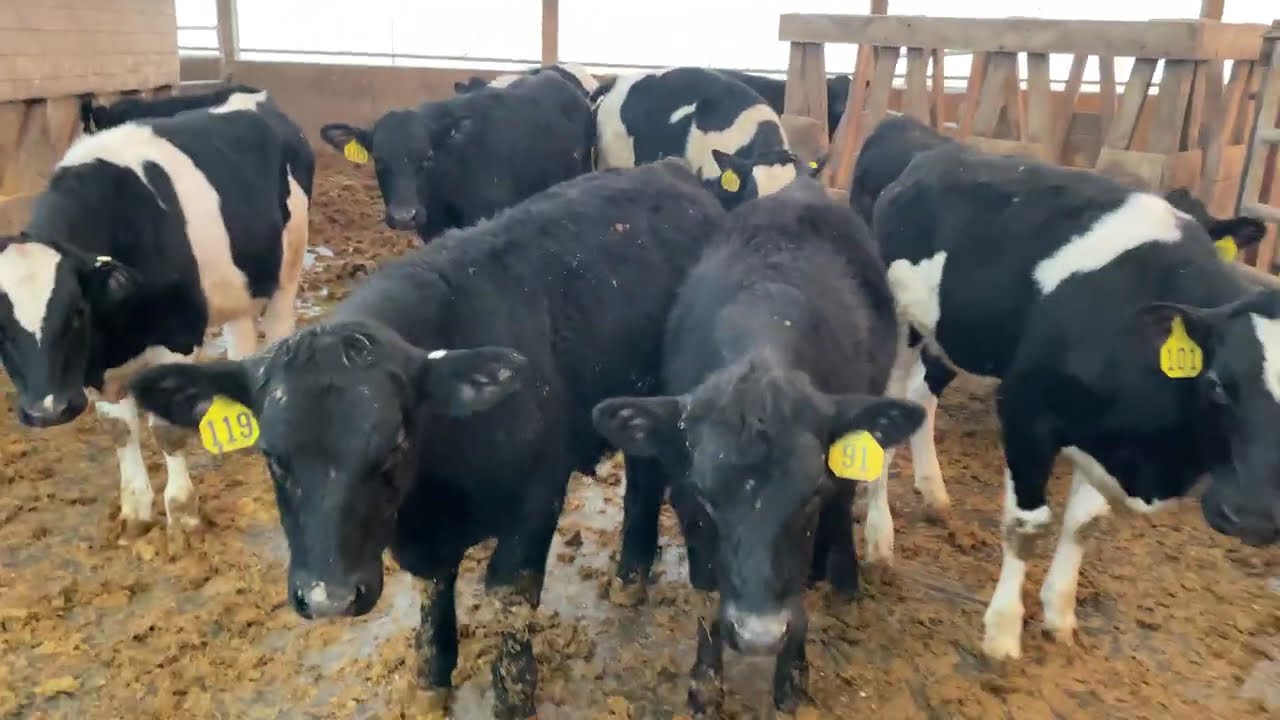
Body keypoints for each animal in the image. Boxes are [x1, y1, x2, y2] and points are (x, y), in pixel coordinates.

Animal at [0, 91, 311, 545]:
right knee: (240, 338)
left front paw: (182, 517)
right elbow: (119, 429)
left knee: (277, 330)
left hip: (286, 274)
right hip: (236, 286)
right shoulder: (95, 366)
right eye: (0, 326)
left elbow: (165, 431)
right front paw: (135, 512)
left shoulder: (177, 338)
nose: (47, 411)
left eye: (76, 311)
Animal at [125, 158, 725, 719]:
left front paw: (513, 695)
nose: (328, 598)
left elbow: (510, 601)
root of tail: (669, 171)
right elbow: (433, 590)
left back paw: (630, 574)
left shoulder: (537, 498)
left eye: (392, 445)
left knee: (645, 480)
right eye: (272, 457)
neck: (435, 495)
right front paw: (432, 678)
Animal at [592, 173, 923, 714]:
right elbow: (706, 592)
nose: (759, 636)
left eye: (810, 493)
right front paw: (705, 682)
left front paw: (793, 678)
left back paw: (842, 576)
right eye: (704, 497)